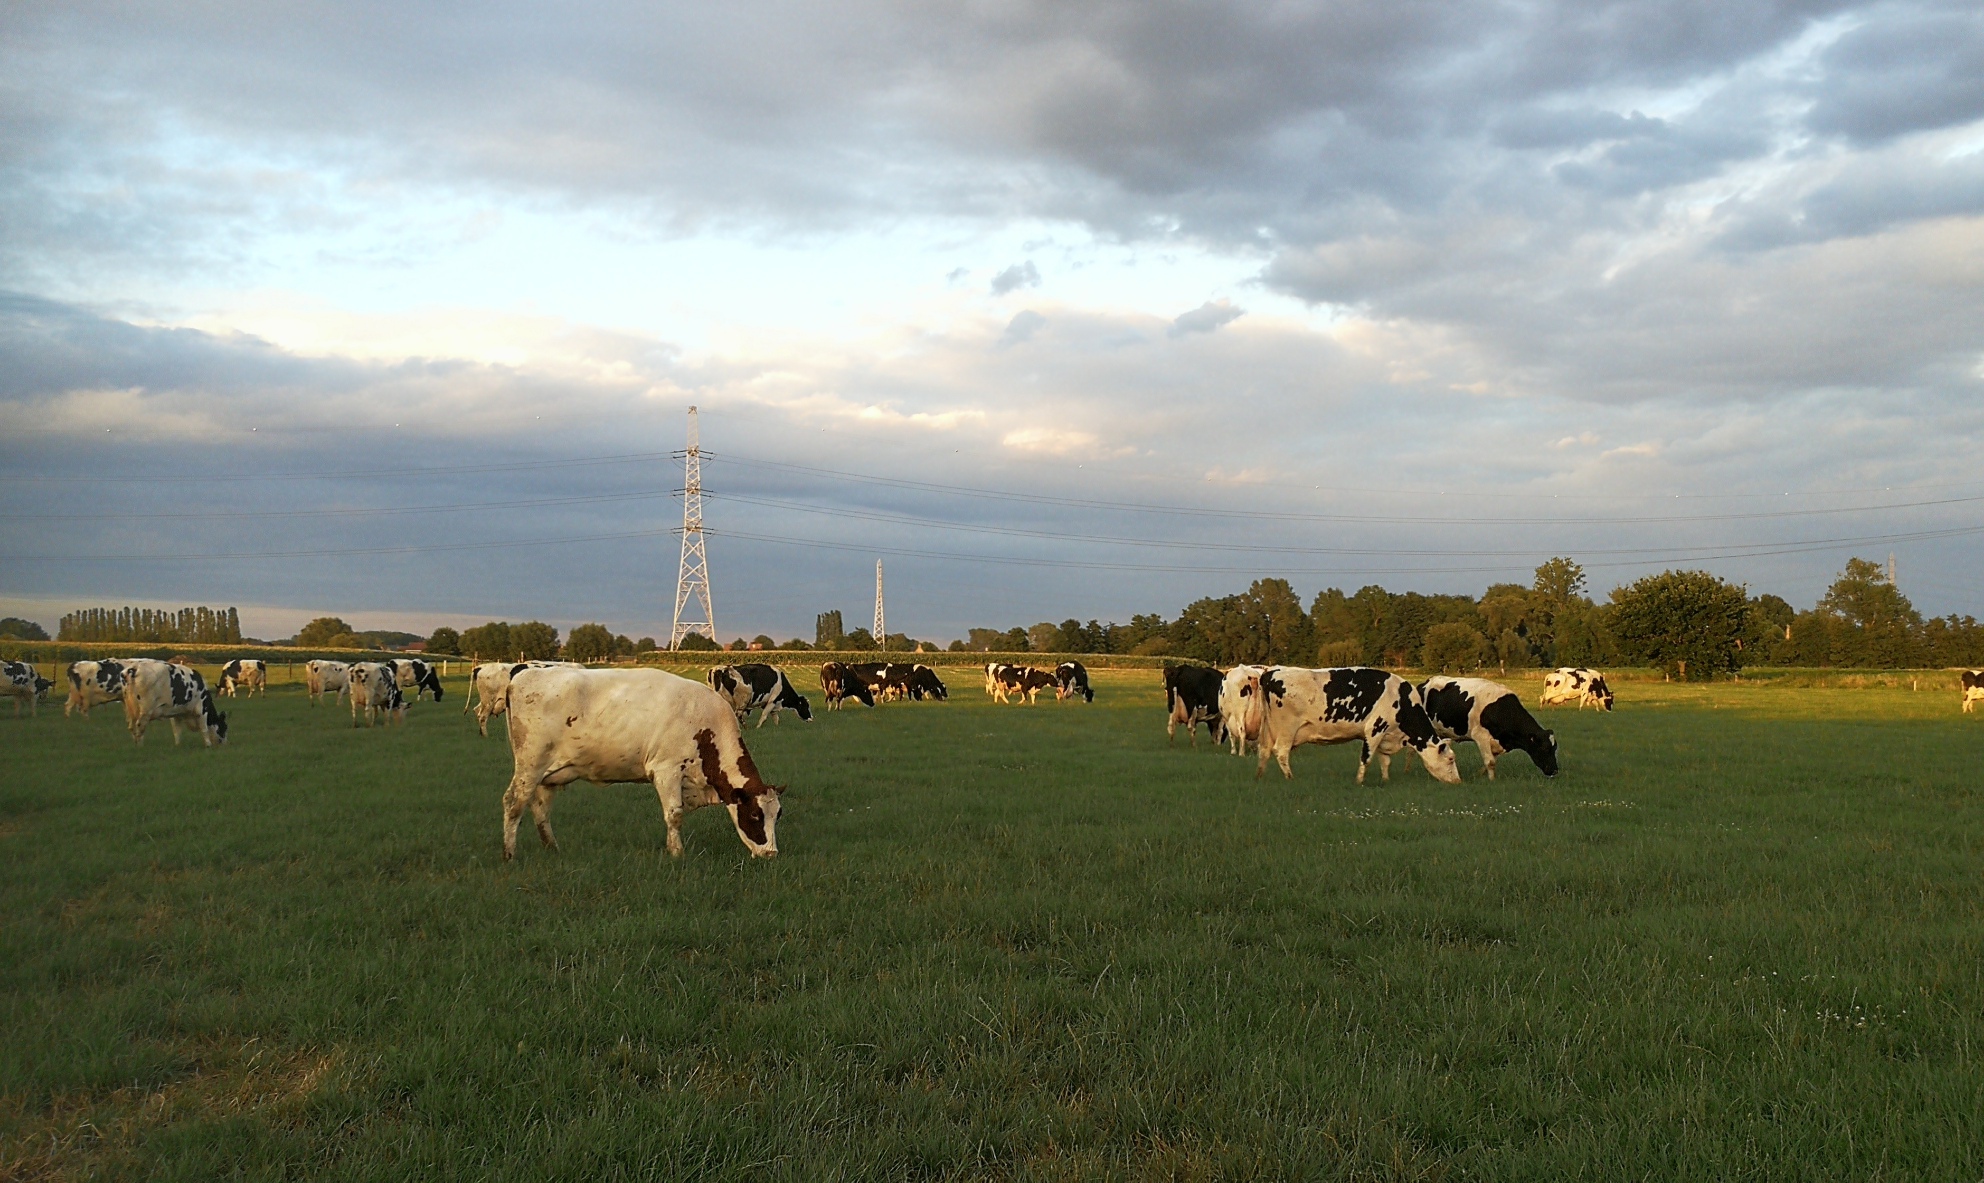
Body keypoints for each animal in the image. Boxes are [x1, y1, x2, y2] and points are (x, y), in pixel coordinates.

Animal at [499, 666, 785, 861]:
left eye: (778, 815)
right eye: (755, 814)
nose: (771, 854)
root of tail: (522, 676)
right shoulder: (666, 770)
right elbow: (675, 815)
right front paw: (677, 853)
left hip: (548, 774)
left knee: (540, 808)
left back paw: (552, 848)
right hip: (530, 765)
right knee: (514, 803)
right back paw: (510, 854)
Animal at [1253, 666, 1460, 786]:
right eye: (1450, 759)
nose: (1458, 781)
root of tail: (1270, 673)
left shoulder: (1385, 734)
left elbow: (1385, 761)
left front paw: (1386, 779)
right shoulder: (1374, 729)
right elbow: (1366, 758)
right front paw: (1359, 781)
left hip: (1268, 728)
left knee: (1263, 750)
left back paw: (1260, 776)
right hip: (1286, 729)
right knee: (1280, 751)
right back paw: (1290, 778)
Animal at [1420, 678, 1555, 782]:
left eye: (1555, 749)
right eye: (1545, 748)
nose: (1555, 770)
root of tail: (1424, 683)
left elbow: (1490, 761)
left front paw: (1478, 775)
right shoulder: (1481, 736)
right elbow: (1490, 762)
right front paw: (1492, 780)